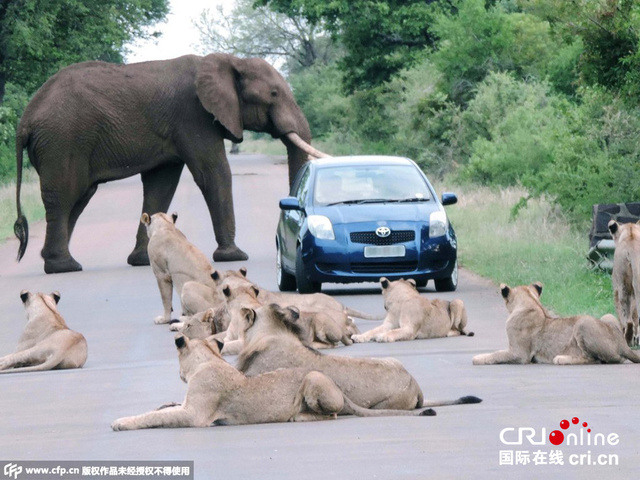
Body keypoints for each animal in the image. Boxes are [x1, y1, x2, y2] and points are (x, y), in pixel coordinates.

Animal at [12, 53, 328, 274]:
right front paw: (234, 256)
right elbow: (213, 173)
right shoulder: (193, 116)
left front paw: (142, 260)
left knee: (76, 199)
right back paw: (64, 267)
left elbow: (161, 185)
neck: (229, 61)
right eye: (274, 94)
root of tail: (26, 118)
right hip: (62, 140)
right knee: (65, 196)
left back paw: (58, 263)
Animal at [112, 334, 438, 432]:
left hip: (312, 377)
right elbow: (162, 407)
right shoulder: (186, 405)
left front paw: (120, 422)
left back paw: (297, 416)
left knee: (331, 414)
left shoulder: (195, 416)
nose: (179, 375)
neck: (208, 360)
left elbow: (155, 417)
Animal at [470, 282, 640, 364]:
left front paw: (477, 358)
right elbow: (498, 351)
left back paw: (561, 359)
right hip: (608, 316)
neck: (531, 303)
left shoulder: (519, 354)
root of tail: (623, 345)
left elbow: (497, 355)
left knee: (594, 359)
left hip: (582, 322)